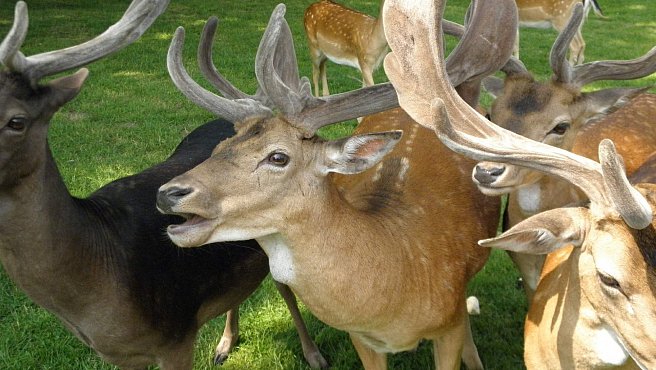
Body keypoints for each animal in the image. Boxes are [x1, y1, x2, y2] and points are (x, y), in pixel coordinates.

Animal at [0, 1, 326, 368]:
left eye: (17, 121)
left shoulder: (178, 335)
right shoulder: (122, 356)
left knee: (284, 288)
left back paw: (313, 354)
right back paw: (225, 343)